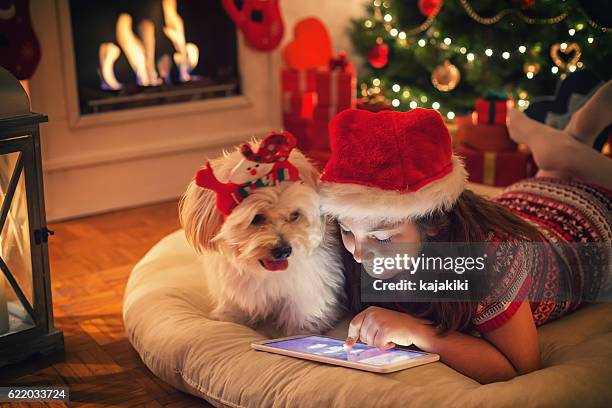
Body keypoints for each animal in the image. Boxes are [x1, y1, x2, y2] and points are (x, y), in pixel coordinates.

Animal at [179, 137, 346, 334]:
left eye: (294, 215)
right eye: (256, 218)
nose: (284, 250)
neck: (262, 273)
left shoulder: (306, 295)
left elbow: (302, 322)